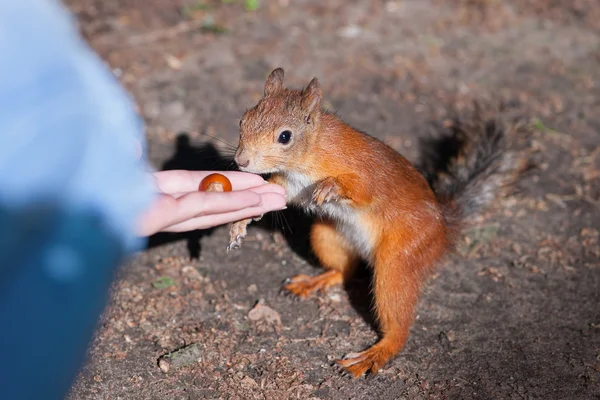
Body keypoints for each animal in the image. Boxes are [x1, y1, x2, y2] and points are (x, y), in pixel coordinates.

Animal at [226, 68, 528, 378]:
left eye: (285, 136)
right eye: (243, 120)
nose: (241, 160)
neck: (311, 152)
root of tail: (444, 228)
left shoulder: (363, 170)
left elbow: (362, 188)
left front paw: (330, 187)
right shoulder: (291, 185)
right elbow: (274, 195)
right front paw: (241, 222)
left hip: (398, 262)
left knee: (397, 324)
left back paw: (372, 356)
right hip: (326, 236)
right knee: (344, 271)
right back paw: (314, 282)